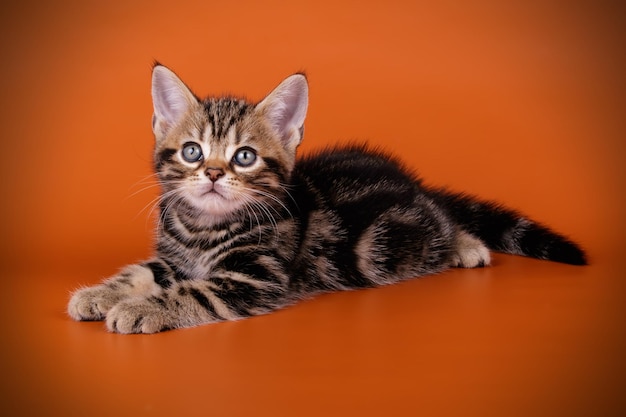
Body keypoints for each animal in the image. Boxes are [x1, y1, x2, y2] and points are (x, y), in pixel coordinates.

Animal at [68, 63, 584, 334]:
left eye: (244, 156)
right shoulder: (173, 258)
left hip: (408, 234)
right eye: (193, 151)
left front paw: (139, 309)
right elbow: (141, 272)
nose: (213, 173)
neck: (203, 228)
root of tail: (410, 180)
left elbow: (192, 290)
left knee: (442, 220)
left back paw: (467, 246)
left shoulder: (254, 277)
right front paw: (99, 294)